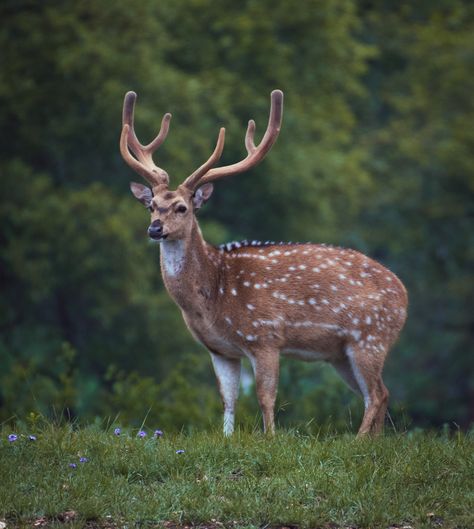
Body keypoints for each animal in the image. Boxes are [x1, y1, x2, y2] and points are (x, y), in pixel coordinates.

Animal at [118, 91, 408, 436]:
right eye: (151, 205)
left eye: (182, 207)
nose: (155, 228)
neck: (213, 296)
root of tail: (403, 293)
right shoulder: (219, 350)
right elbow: (227, 400)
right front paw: (228, 438)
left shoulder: (265, 335)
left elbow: (265, 397)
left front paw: (270, 438)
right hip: (342, 353)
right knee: (380, 393)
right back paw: (372, 440)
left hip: (370, 337)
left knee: (376, 393)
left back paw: (358, 440)